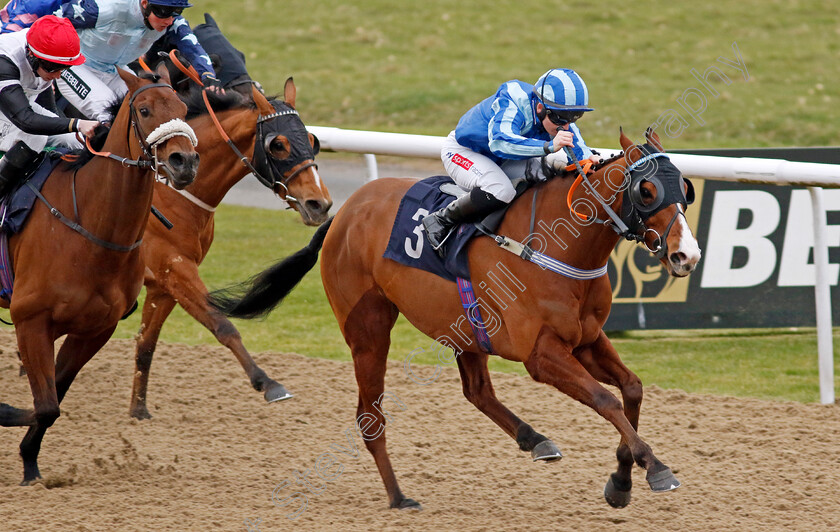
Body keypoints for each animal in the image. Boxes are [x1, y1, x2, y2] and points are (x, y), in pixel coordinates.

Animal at [0, 66, 199, 486]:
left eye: (183, 109)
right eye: (143, 110)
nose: (184, 162)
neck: (92, 230)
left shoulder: (93, 330)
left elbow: (51, 403)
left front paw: (30, 465)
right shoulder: (31, 320)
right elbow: (45, 404)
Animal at [128, 79, 332, 420]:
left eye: (312, 140)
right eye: (278, 145)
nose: (320, 204)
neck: (171, 194)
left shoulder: (163, 283)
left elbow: (147, 343)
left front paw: (139, 410)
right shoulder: (175, 266)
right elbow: (222, 324)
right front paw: (268, 383)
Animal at [210, 130, 704, 512]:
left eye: (685, 187)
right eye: (646, 191)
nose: (687, 255)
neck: (558, 248)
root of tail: (344, 212)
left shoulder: (586, 338)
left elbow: (632, 389)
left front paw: (621, 481)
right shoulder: (542, 355)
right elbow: (606, 400)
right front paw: (655, 468)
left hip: (464, 329)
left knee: (477, 391)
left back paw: (534, 439)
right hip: (368, 329)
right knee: (370, 418)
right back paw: (398, 496)